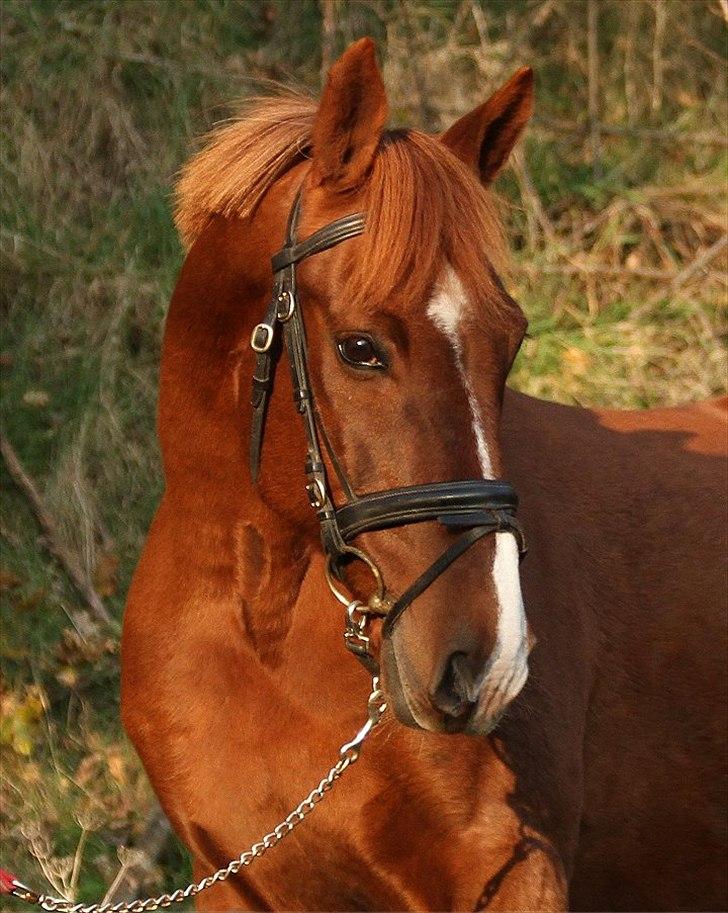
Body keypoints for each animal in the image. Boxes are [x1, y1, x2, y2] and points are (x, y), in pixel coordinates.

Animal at [121, 38, 727, 911]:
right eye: (359, 347)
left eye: (511, 341)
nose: (488, 666)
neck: (257, 622)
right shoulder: (231, 883)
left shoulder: (512, 875)